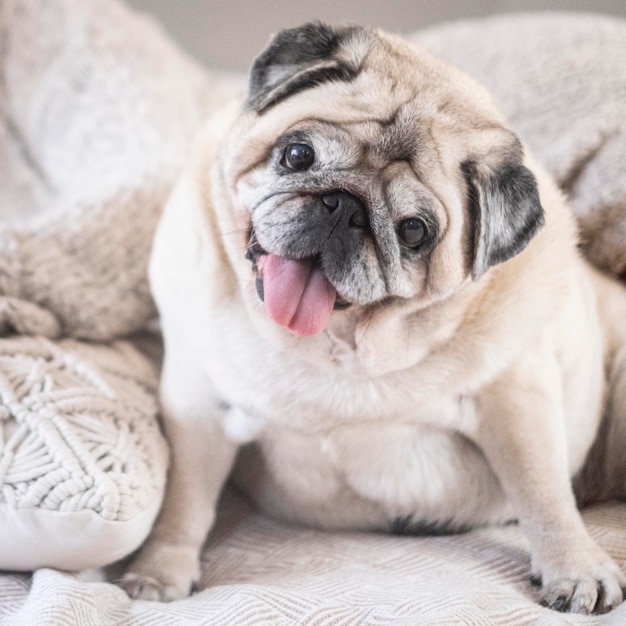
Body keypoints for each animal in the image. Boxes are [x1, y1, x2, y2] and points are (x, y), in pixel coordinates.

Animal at [120, 22, 624, 612]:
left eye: (414, 232)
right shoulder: (198, 406)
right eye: (297, 154)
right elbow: (185, 498)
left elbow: (543, 491)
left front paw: (576, 568)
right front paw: (160, 569)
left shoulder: (516, 397)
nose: (344, 206)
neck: (337, 344)